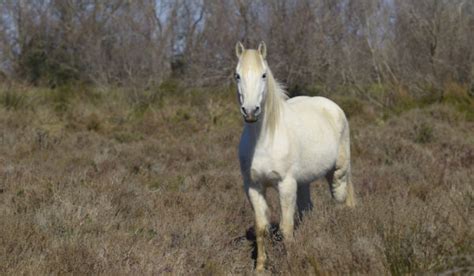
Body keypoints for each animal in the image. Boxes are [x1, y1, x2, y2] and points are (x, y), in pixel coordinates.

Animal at [235, 42, 354, 272]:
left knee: (342, 200)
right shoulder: (253, 187)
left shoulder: (286, 185)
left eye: (264, 74)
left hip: (338, 173)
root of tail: (333, 107)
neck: (264, 140)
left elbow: (286, 228)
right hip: (304, 182)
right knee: (307, 209)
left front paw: (289, 263)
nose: (251, 111)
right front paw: (260, 267)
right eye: (237, 75)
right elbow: (262, 228)